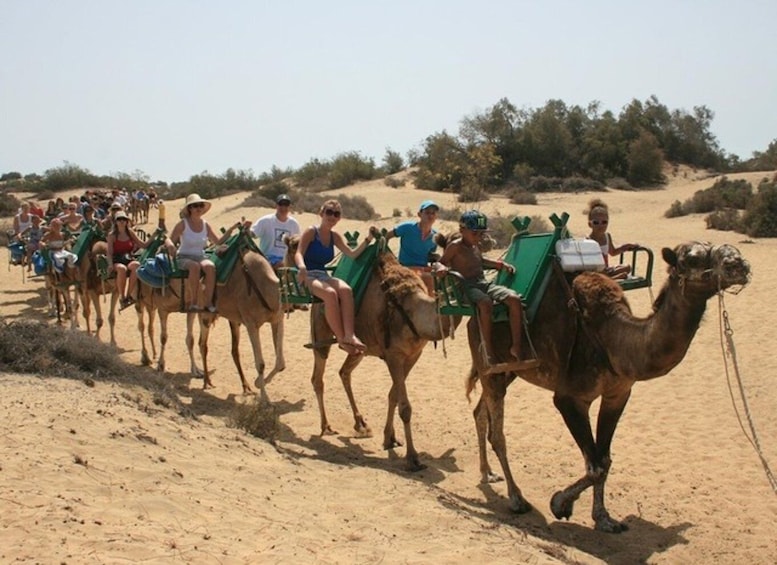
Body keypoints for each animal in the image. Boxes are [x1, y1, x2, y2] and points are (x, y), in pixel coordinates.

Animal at [282, 234, 458, 472]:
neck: (414, 309)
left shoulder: (413, 355)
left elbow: (393, 395)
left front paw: (390, 438)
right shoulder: (394, 356)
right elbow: (405, 406)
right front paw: (412, 458)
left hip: (360, 348)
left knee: (344, 372)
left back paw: (361, 423)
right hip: (321, 332)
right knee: (318, 378)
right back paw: (326, 426)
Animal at [464, 240, 748, 532]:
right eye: (692, 258)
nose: (739, 265)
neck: (614, 341)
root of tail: (473, 318)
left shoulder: (618, 393)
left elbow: (604, 459)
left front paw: (603, 518)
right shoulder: (570, 398)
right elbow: (595, 465)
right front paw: (560, 503)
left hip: (508, 370)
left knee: (479, 413)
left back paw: (487, 473)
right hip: (488, 363)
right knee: (497, 433)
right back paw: (516, 498)